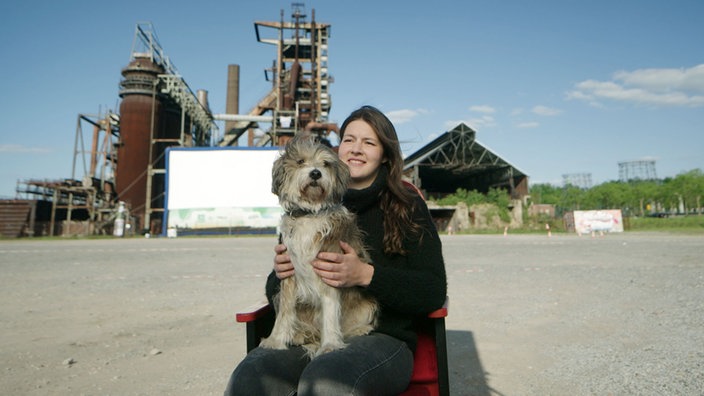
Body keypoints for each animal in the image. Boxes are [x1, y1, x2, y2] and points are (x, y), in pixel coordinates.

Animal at [260, 135, 380, 358]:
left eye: (325, 164)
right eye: (300, 161)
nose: (315, 173)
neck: (309, 214)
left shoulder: (331, 267)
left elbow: (330, 309)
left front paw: (330, 344)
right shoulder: (289, 274)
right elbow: (285, 312)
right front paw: (276, 340)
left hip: (368, 306)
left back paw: (358, 330)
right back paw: (299, 335)